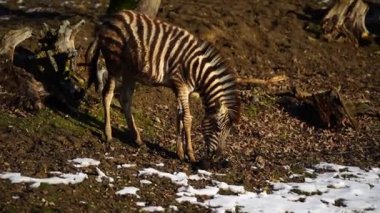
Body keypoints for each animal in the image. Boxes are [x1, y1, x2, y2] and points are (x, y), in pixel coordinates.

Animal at [87, 9, 239, 163]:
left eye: (228, 131)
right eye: (218, 129)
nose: (218, 157)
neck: (197, 69)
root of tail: (110, 18)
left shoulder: (179, 88)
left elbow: (179, 117)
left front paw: (179, 152)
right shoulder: (181, 85)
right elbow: (187, 119)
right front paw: (190, 154)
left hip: (130, 70)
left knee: (125, 99)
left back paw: (137, 139)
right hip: (115, 62)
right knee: (107, 94)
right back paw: (108, 135)